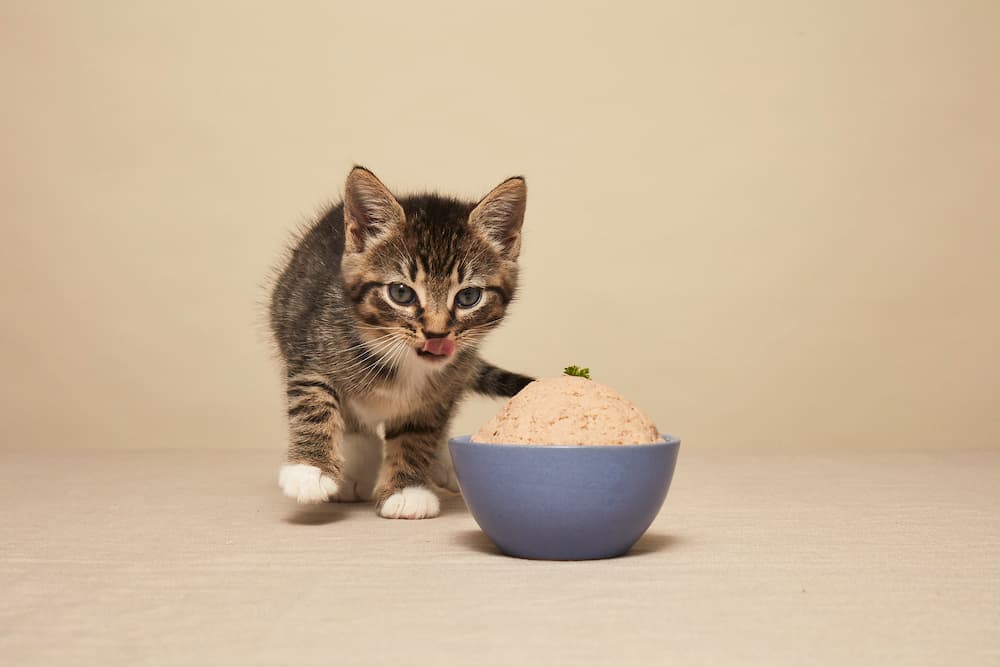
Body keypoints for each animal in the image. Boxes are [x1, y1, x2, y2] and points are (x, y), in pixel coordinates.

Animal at [266, 168, 532, 520]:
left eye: (468, 297)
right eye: (401, 293)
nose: (436, 334)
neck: (404, 360)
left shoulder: (441, 391)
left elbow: (418, 433)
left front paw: (407, 490)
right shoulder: (309, 350)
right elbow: (314, 402)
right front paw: (309, 471)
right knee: (354, 423)